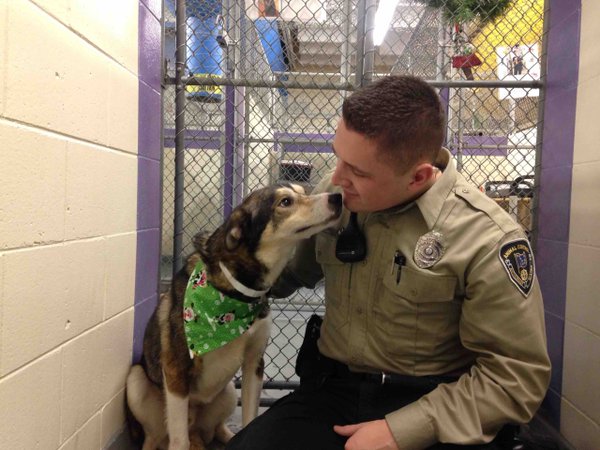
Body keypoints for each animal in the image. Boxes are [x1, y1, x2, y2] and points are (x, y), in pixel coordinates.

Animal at [126, 184, 342, 450]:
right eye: (285, 202)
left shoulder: (254, 363)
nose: (338, 197)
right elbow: (179, 441)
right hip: (135, 383)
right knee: (157, 437)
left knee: (216, 430)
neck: (236, 295)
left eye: (303, 191)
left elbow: (250, 420)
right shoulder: (176, 370)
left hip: (229, 391)